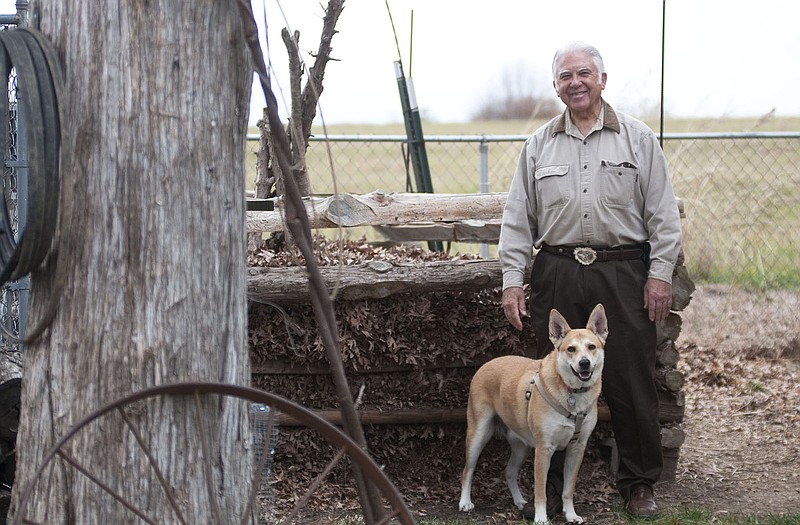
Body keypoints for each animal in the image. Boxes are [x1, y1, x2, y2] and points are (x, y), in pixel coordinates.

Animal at [456, 302, 608, 524]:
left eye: (591, 347)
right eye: (571, 349)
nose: (584, 363)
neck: (572, 393)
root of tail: (487, 363)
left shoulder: (577, 448)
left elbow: (568, 489)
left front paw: (570, 514)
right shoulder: (544, 449)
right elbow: (541, 491)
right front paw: (541, 517)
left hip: (521, 446)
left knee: (509, 472)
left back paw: (520, 501)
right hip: (478, 434)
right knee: (467, 470)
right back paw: (465, 502)